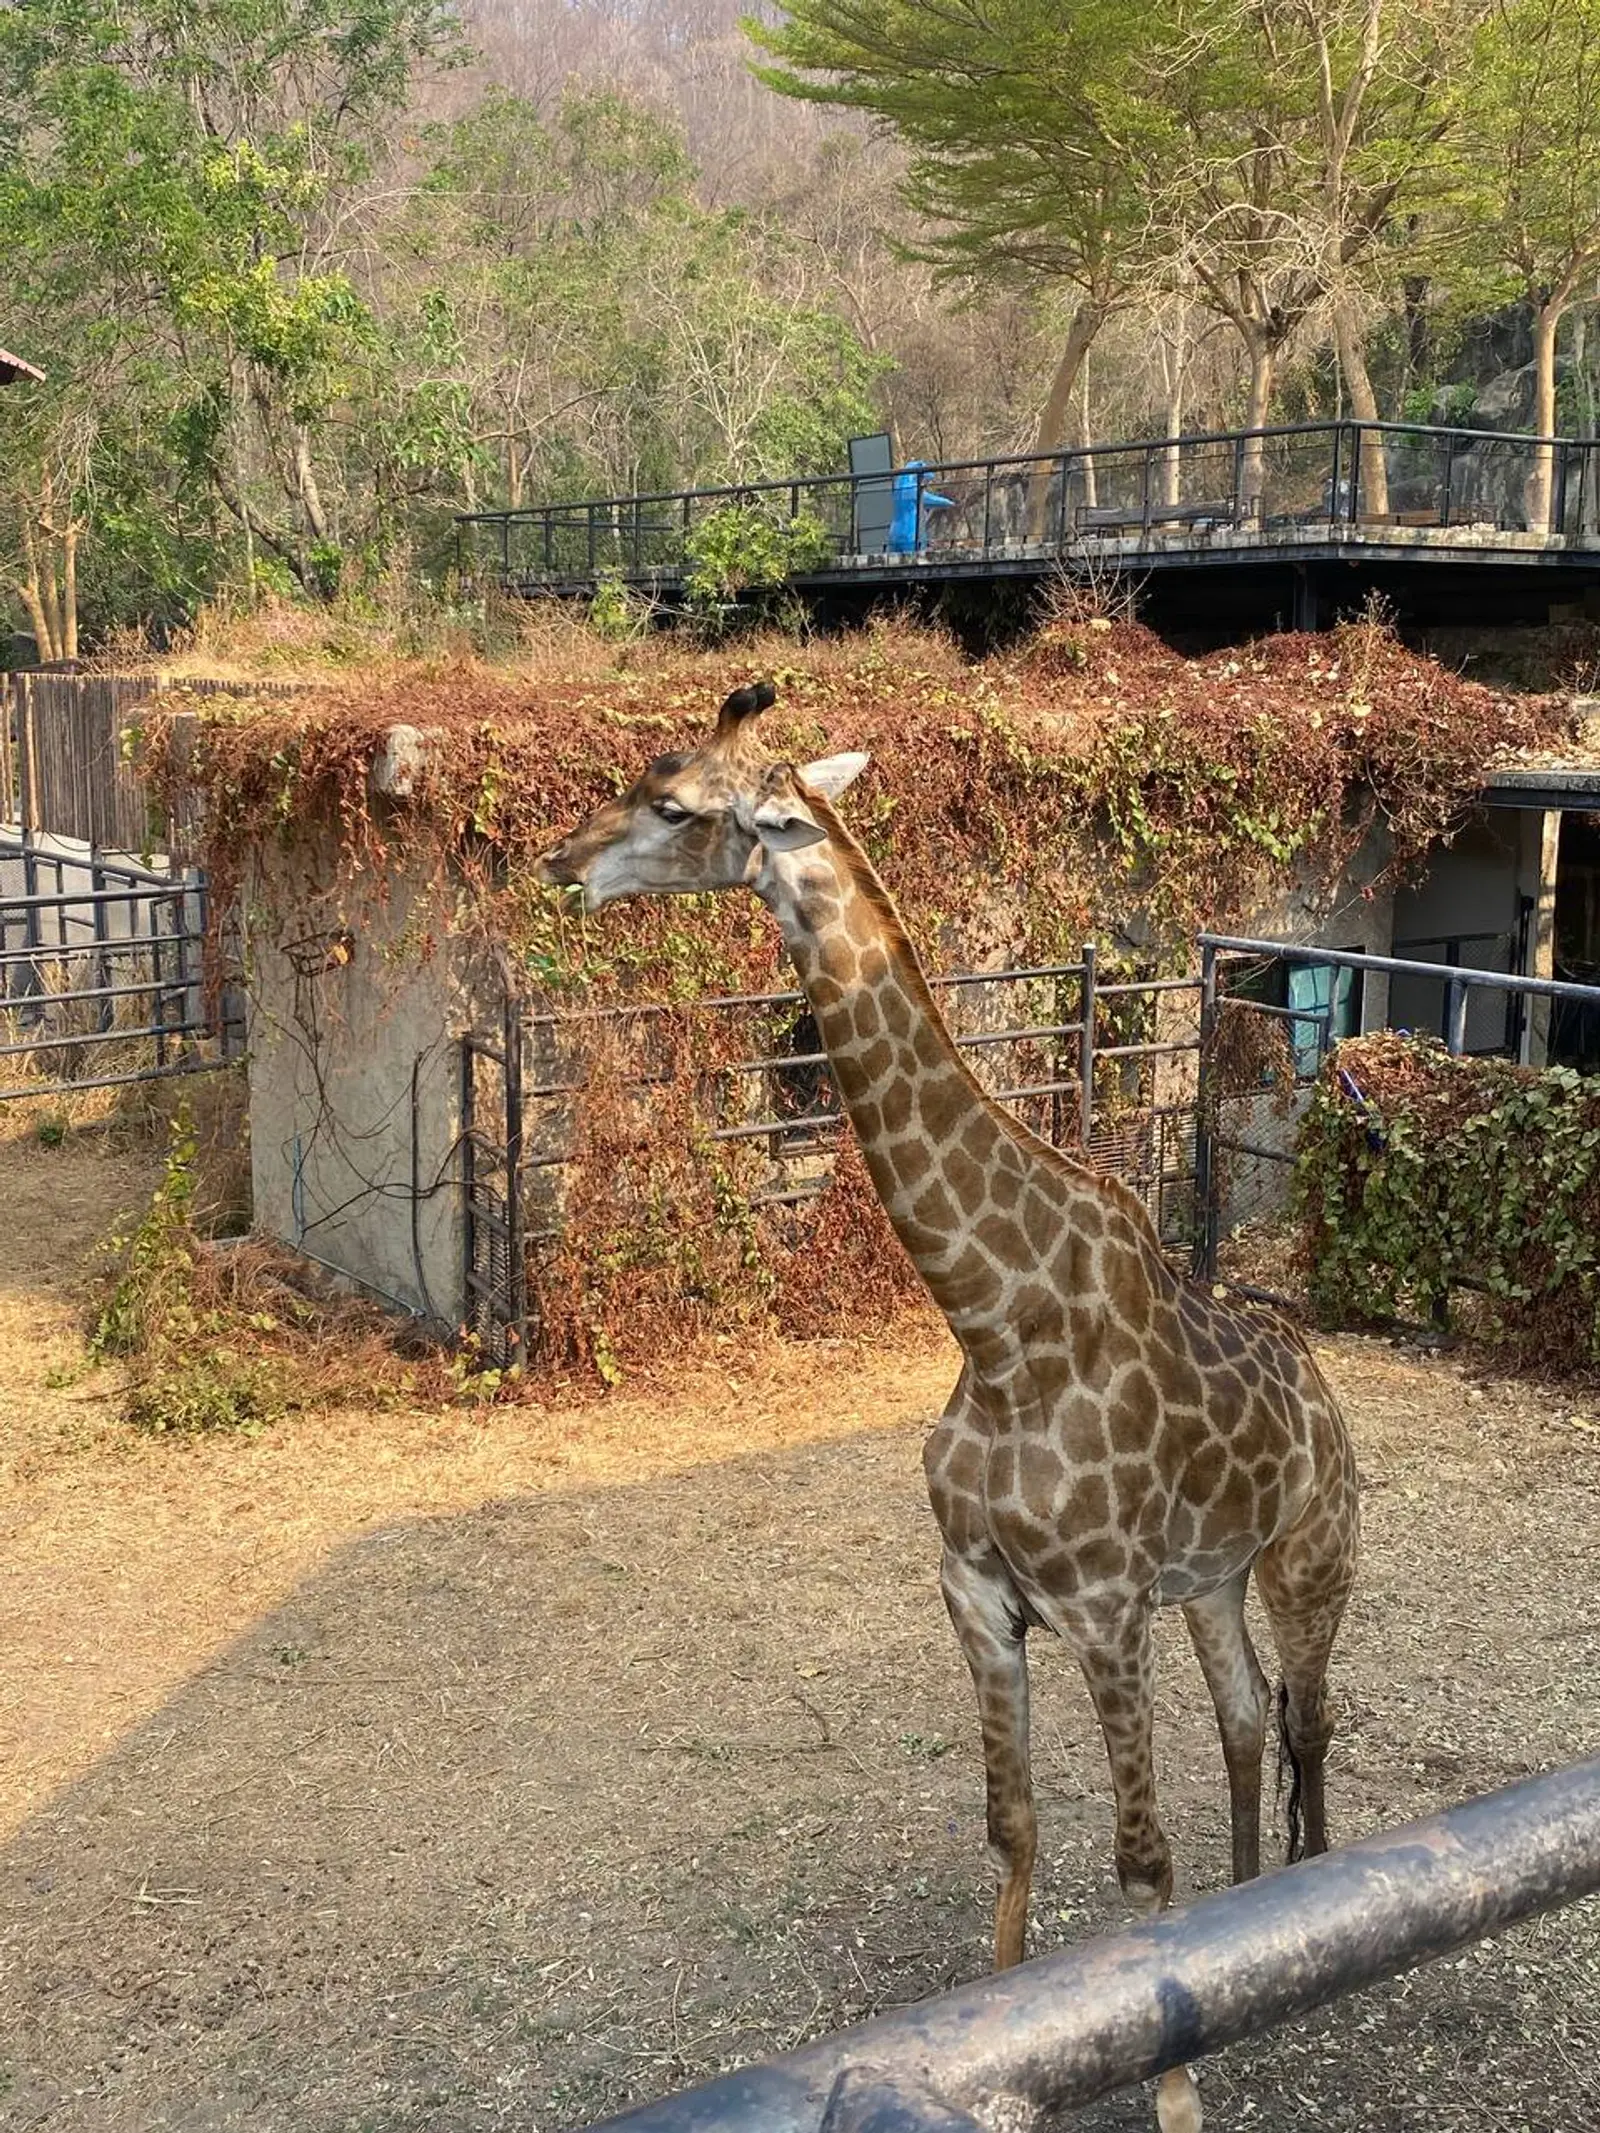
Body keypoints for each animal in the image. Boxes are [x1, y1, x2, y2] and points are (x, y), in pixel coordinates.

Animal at [542, 682, 1360, 2132]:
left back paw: (1306, 1901)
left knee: (1310, 1717)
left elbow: (1139, 1862)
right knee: (1248, 1715)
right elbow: (1014, 1827)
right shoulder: (975, 1591)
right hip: (1211, 1578)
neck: (991, 1319)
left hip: (1307, 1557)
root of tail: (1320, 1391)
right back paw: (1254, 1914)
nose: (555, 864)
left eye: (676, 807)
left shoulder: (1100, 1607)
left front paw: (1178, 2087)